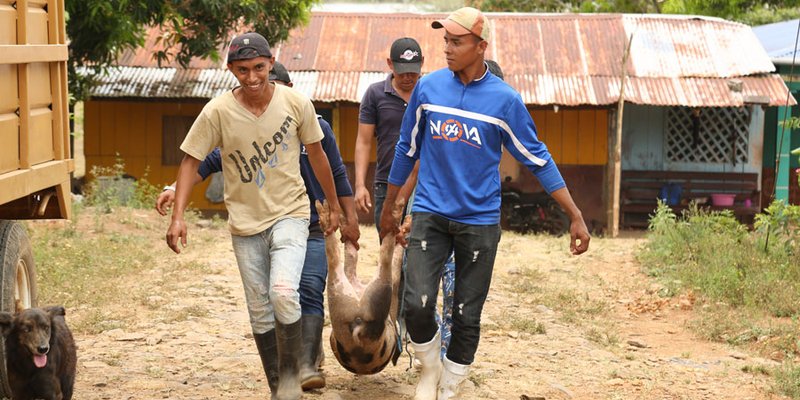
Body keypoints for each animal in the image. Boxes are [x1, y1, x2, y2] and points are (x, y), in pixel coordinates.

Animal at [316, 200, 410, 376]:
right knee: (387, 255)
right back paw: (398, 216)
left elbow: (351, 258)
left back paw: (328, 215)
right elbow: (396, 256)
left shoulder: (350, 281)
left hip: (339, 302)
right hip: (382, 292)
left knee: (335, 257)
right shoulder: (392, 285)